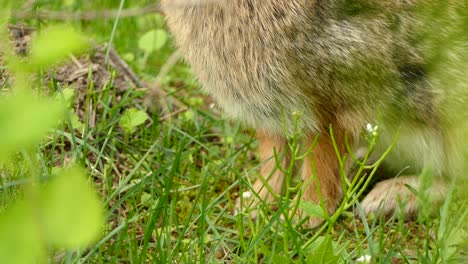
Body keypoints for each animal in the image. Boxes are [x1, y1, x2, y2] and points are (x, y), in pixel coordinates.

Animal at [159, 0, 466, 227]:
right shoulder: (272, 114)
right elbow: (273, 159)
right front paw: (253, 204)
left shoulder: (332, 107)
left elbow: (322, 167)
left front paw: (300, 217)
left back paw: (389, 199)